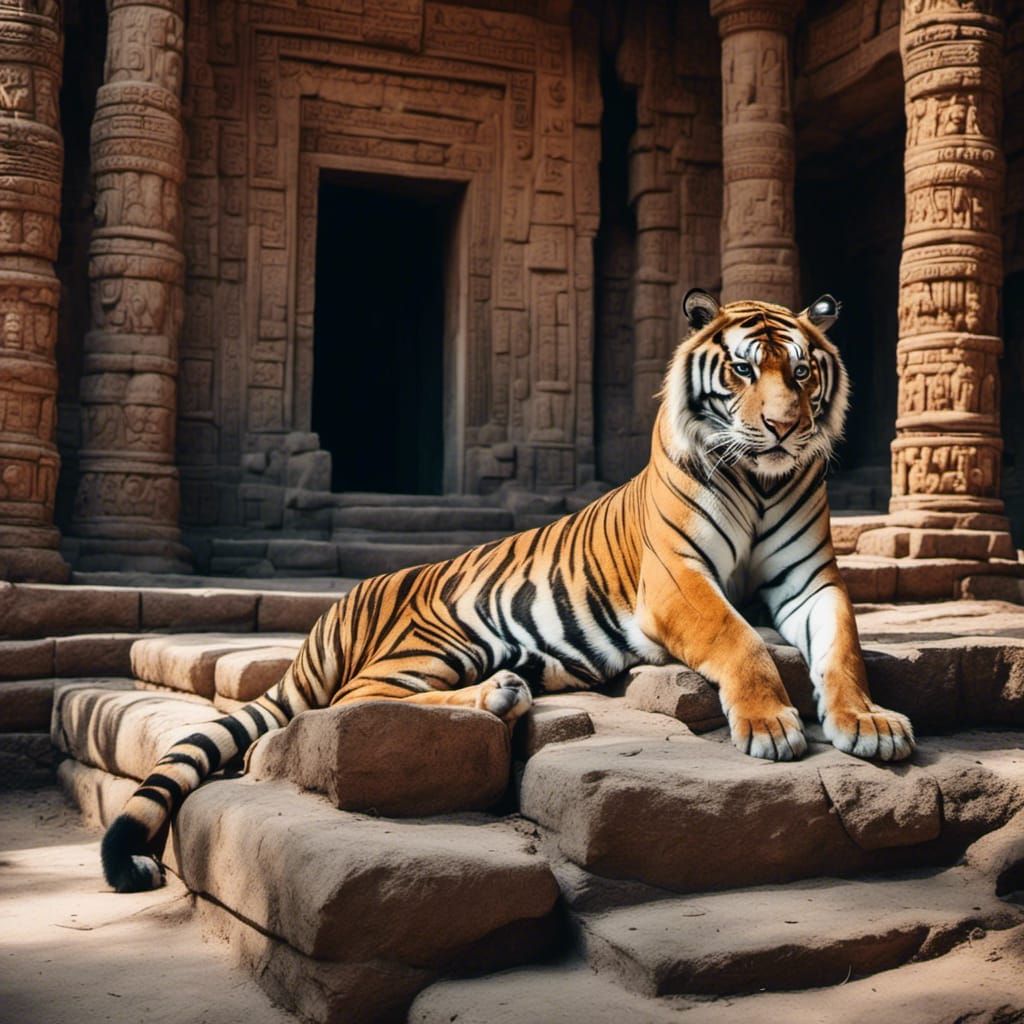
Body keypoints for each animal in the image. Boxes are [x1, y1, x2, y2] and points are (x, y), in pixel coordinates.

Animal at [102, 289, 915, 893]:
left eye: (802, 374)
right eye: (744, 372)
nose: (782, 429)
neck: (759, 479)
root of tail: (340, 606)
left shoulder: (812, 580)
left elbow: (843, 646)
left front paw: (869, 724)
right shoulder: (677, 578)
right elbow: (739, 638)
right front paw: (773, 726)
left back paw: (506, 690)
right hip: (436, 639)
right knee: (350, 703)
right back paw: (497, 696)